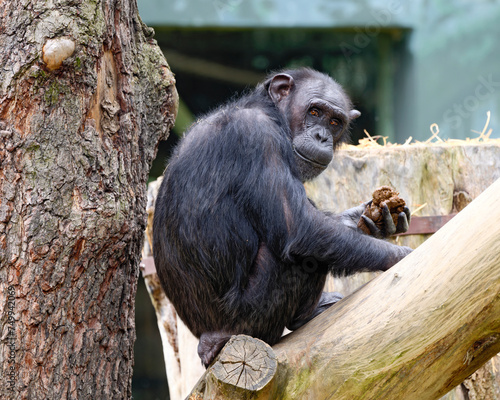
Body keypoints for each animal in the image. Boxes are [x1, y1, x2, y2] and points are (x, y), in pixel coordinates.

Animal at [152, 67, 410, 368]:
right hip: (251, 320)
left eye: (335, 121)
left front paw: (370, 220)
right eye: (314, 112)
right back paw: (308, 314)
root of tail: (206, 341)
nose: (322, 136)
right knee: (299, 256)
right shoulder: (259, 138)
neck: (270, 112)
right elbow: (299, 227)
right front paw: (400, 255)